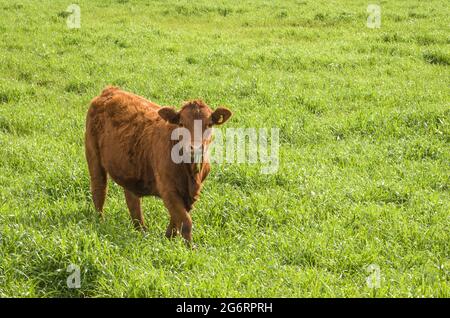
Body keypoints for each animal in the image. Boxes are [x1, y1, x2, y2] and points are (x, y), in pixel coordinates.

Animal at [85, 87, 232, 243]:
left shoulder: (189, 194)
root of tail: (110, 90)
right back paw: (100, 222)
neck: (191, 173)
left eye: (209, 124)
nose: (195, 148)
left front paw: (168, 238)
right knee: (99, 189)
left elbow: (177, 220)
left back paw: (141, 230)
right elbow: (186, 221)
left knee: (132, 200)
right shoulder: (168, 189)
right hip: (93, 156)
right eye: (181, 124)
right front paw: (190, 246)